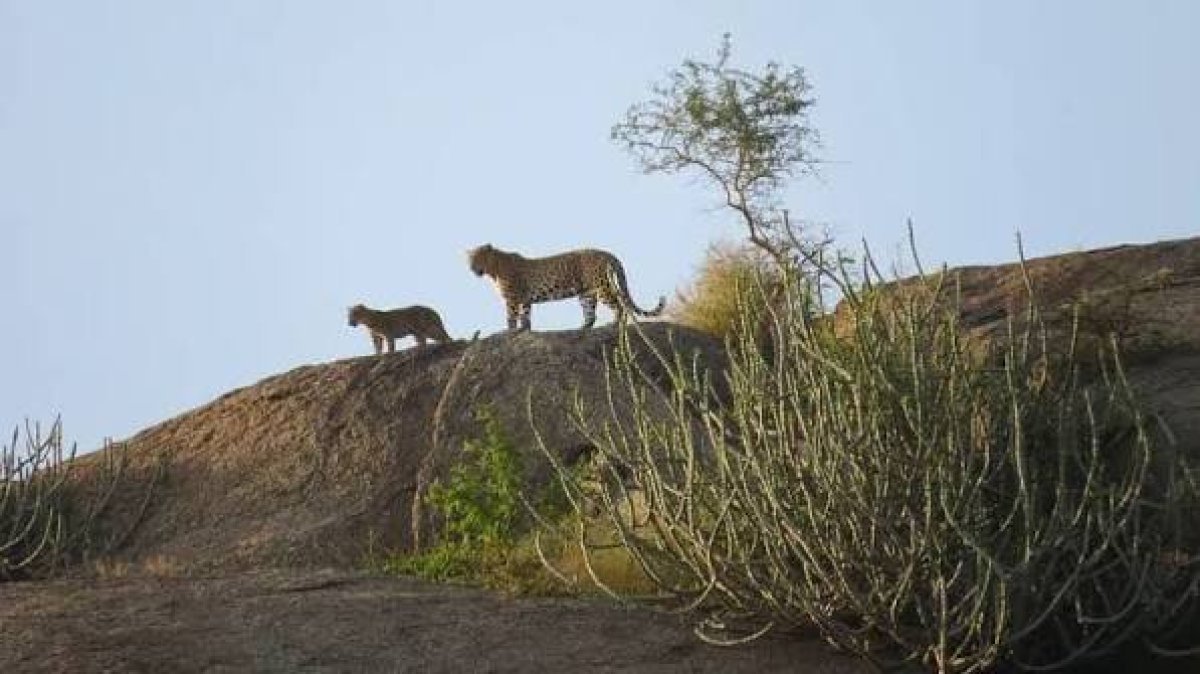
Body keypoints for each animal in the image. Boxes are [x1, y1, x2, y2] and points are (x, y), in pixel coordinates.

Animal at [467, 243, 666, 331]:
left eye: (478, 258)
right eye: (469, 259)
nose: (471, 268)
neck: (494, 269)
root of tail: (607, 253)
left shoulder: (513, 298)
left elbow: (511, 317)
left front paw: (510, 331)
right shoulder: (525, 300)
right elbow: (526, 316)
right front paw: (525, 330)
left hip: (601, 285)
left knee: (618, 304)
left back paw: (615, 324)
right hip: (586, 292)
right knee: (590, 313)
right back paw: (582, 328)